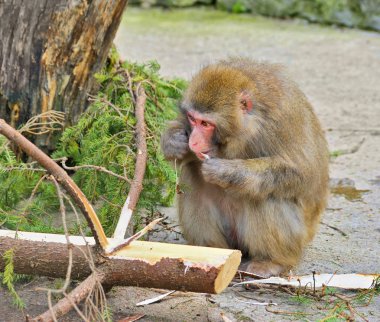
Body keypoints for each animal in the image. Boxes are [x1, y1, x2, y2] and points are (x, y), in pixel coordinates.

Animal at [160, 57, 330, 276]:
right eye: (192, 119)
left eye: (206, 124)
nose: (193, 142)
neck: (248, 126)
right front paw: (173, 141)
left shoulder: (282, 121)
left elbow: (304, 174)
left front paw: (227, 172)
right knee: (192, 175)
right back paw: (213, 251)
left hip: (297, 238)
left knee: (265, 193)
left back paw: (271, 262)